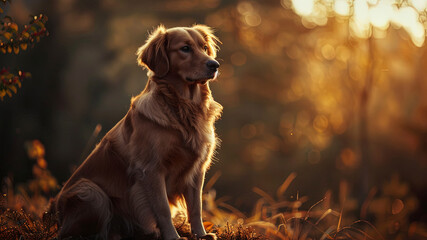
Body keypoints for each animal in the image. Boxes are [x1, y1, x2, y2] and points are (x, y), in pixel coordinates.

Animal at [51, 24, 222, 240]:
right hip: (91, 192)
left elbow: (196, 207)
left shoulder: (197, 168)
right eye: (185, 48)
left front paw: (201, 234)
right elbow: (163, 209)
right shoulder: (151, 169)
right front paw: (173, 236)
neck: (182, 108)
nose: (214, 65)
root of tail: (57, 219)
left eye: (204, 47)